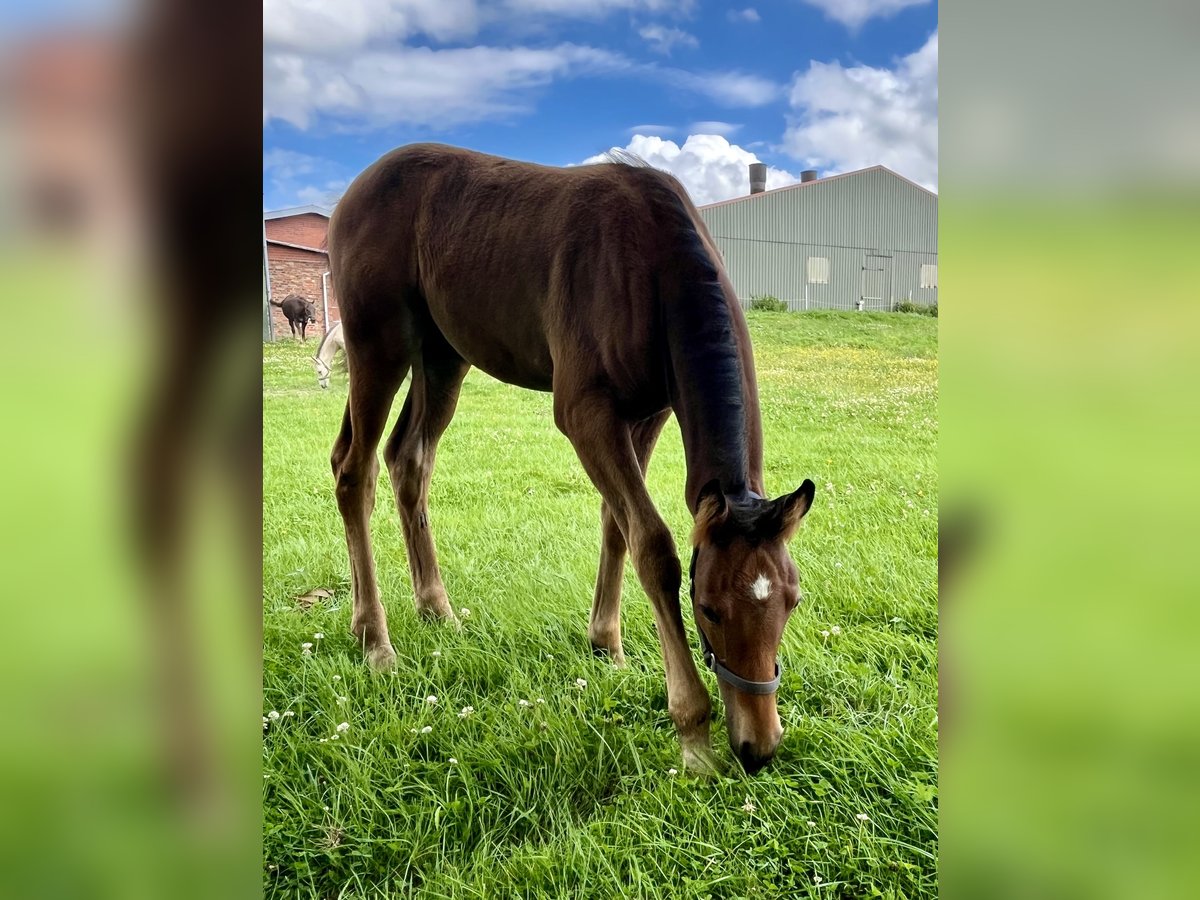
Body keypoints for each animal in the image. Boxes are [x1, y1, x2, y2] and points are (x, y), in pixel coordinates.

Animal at [328, 142, 816, 777]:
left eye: (792, 602)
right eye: (707, 608)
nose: (759, 748)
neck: (650, 264)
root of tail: (352, 193)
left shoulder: (648, 412)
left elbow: (618, 526)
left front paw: (607, 644)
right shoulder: (586, 413)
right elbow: (652, 544)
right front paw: (692, 732)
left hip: (442, 358)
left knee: (408, 461)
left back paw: (438, 611)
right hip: (377, 346)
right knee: (354, 472)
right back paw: (375, 641)